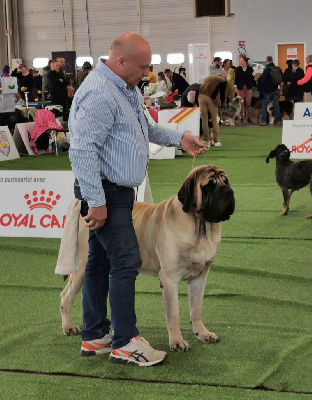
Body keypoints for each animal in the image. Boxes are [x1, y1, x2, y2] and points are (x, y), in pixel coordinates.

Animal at [59, 164, 235, 352]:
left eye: (226, 181)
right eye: (209, 185)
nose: (229, 192)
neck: (200, 227)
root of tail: (81, 205)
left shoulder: (199, 278)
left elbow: (196, 309)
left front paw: (202, 333)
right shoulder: (170, 279)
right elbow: (173, 314)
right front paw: (177, 342)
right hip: (82, 267)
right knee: (66, 296)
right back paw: (69, 327)